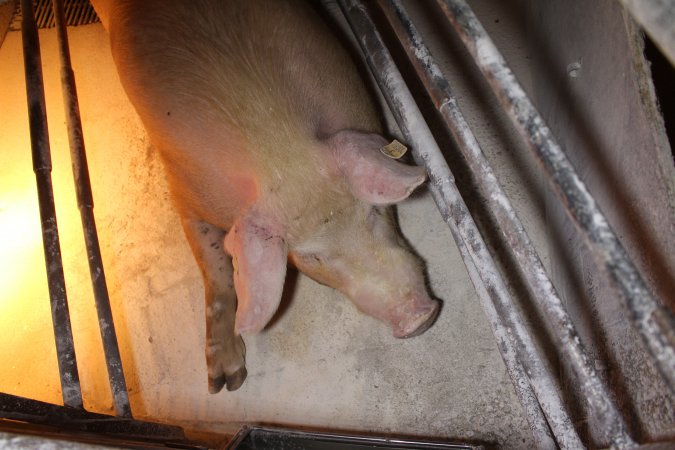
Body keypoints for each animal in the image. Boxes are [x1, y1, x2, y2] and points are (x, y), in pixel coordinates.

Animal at [92, 0, 440, 392]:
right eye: (311, 257)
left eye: (373, 213)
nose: (418, 317)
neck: (275, 147)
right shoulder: (182, 194)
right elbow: (214, 266)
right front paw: (227, 384)